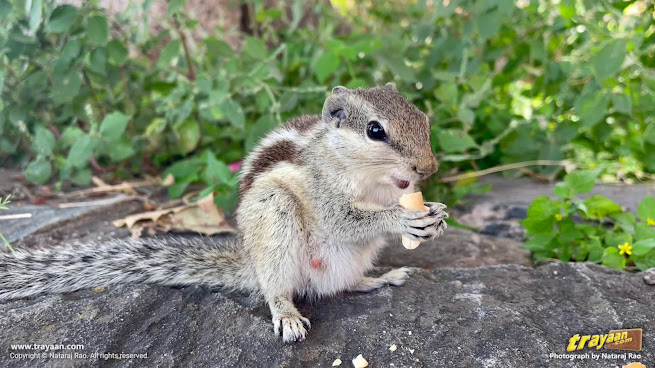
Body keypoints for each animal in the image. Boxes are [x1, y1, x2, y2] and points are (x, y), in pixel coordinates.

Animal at [0, 83, 446, 342]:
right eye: (375, 130)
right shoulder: (323, 188)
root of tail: (250, 265)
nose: (428, 169)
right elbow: (345, 218)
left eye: (423, 118)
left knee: (340, 286)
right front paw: (400, 219)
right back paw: (287, 315)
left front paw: (436, 214)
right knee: (279, 289)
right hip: (275, 215)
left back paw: (378, 279)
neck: (374, 181)